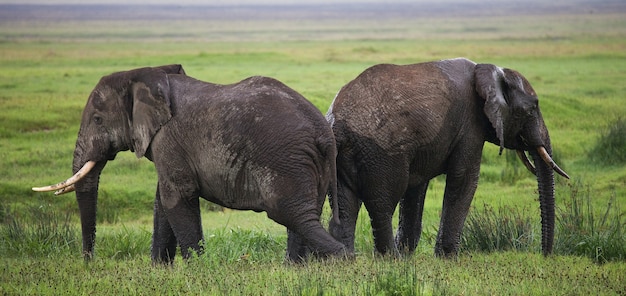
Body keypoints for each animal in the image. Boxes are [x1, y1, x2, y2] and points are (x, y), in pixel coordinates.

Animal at [31, 63, 344, 262]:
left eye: (97, 120)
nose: (89, 262)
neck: (146, 75)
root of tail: (324, 134)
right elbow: (162, 202)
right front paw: (159, 270)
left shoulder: (168, 138)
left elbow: (177, 197)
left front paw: (197, 269)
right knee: (304, 216)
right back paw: (295, 268)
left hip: (285, 161)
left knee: (294, 215)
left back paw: (342, 258)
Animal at [324, 57, 568, 256]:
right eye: (532, 109)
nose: (545, 254)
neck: (489, 71)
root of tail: (337, 123)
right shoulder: (470, 126)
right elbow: (464, 179)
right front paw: (447, 257)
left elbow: (416, 188)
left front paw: (409, 255)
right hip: (382, 152)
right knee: (382, 203)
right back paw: (390, 258)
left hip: (344, 155)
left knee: (346, 203)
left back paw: (347, 258)